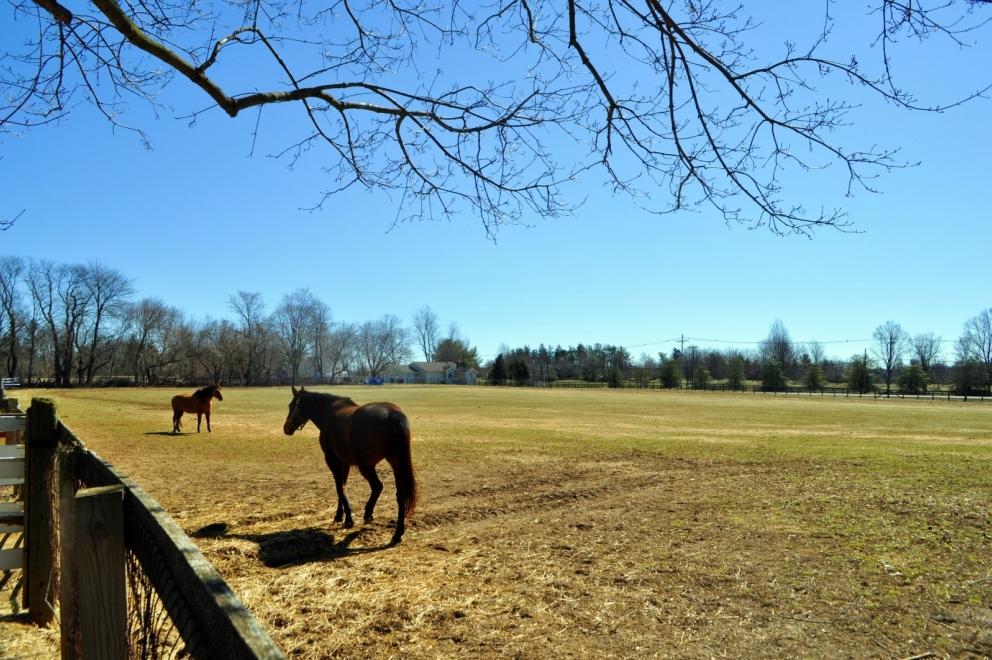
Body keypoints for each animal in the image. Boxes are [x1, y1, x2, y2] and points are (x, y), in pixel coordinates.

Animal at [283, 386, 417, 546]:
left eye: (291, 406)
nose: (286, 428)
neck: (329, 412)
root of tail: (393, 415)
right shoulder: (344, 463)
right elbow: (343, 486)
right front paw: (340, 515)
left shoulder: (332, 460)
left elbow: (339, 487)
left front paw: (348, 518)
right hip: (396, 464)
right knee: (400, 495)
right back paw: (397, 534)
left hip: (366, 466)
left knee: (377, 486)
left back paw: (368, 513)